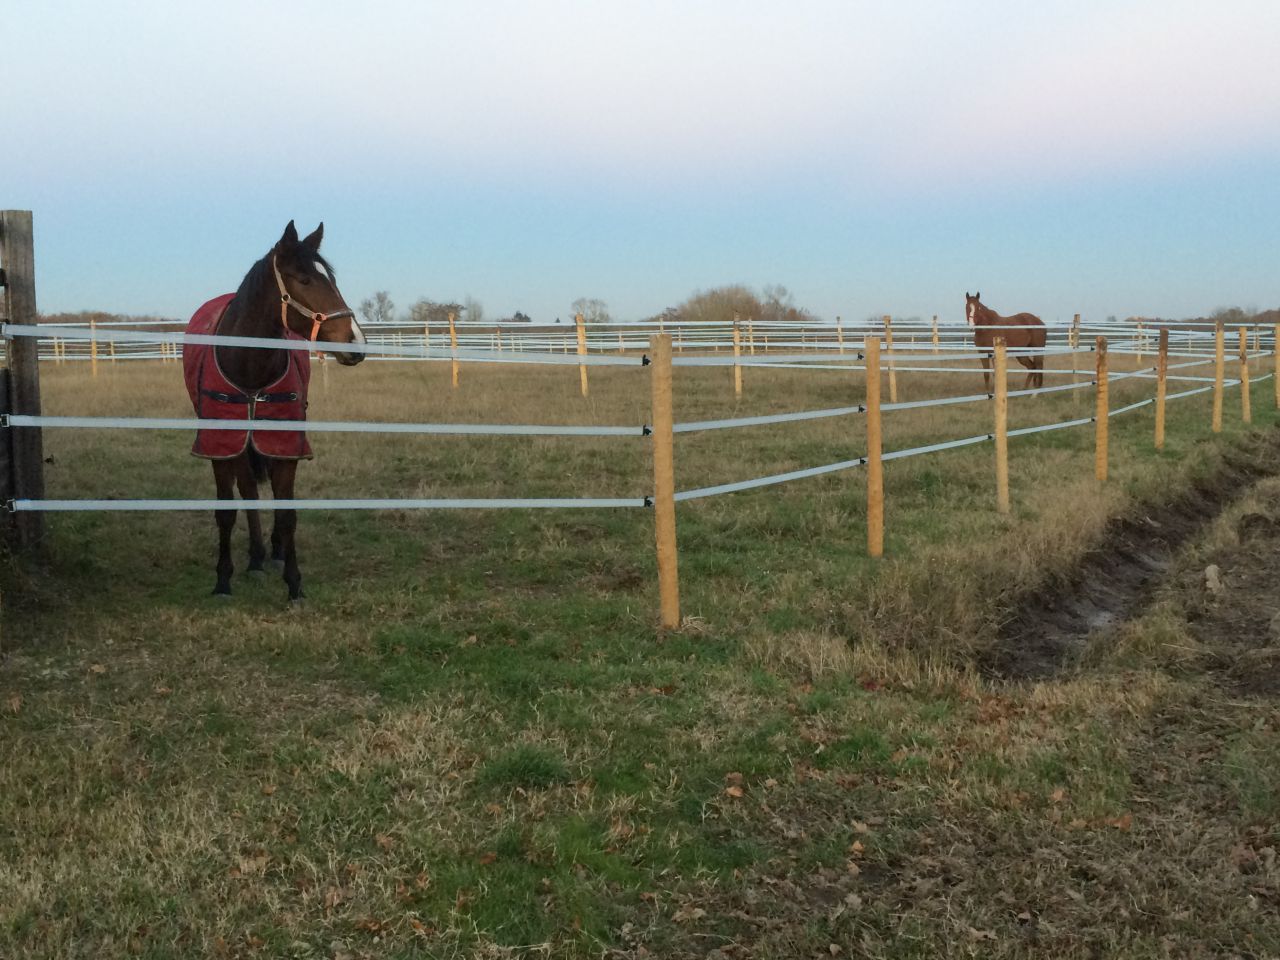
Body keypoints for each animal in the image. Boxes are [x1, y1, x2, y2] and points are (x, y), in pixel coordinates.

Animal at [182, 221, 366, 601]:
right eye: (304, 279)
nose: (355, 344)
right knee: (249, 491)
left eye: (332, 279)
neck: (249, 367)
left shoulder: (284, 446)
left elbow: (287, 513)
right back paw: (255, 558)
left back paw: (274, 552)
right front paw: (222, 580)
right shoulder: (221, 446)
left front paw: (294, 581)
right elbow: (227, 511)